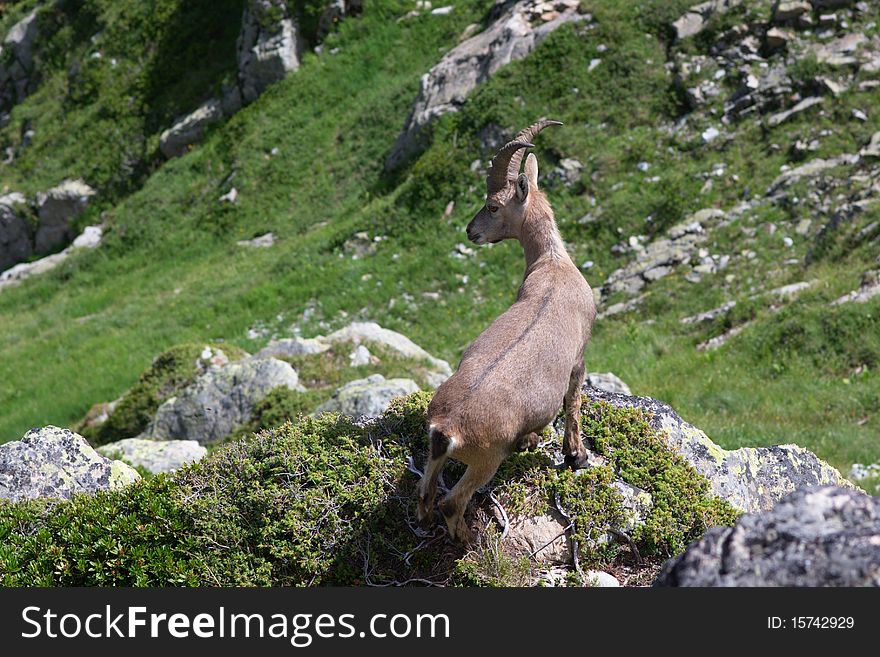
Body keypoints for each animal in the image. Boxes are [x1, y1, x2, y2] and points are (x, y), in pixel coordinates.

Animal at [414, 120, 596, 540]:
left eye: (493, 205)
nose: (470, 231)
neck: (552, 263)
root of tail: (445, 428)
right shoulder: (580, 356)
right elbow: (573, 403)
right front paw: (576, 456)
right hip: (486, 458)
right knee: (452, 502)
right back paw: (470, 542)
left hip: (437, 453)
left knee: (425, 493)